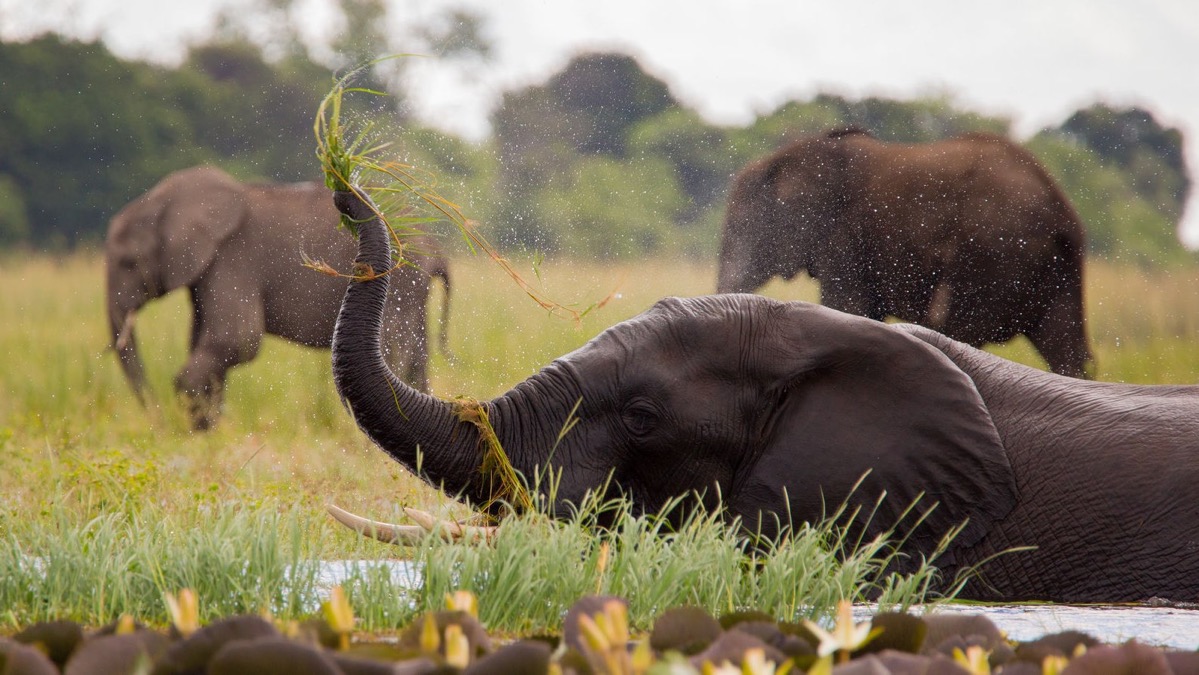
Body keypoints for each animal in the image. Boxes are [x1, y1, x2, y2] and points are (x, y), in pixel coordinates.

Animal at [105, 165, 450, 426]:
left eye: (128, 262)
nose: (159, 422)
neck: (164, 199)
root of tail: (435, 247)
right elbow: (207, 339)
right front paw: (206, 429)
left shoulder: (233, 258)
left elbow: (238, 339)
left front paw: (193, 413)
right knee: (416, 359)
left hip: (401, 282)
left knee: (395, 353)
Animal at [719, 129, 1098, 378]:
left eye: (739, 226)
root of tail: (1060, 212)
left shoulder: (845, 240)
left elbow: (847, 308)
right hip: (1056, 268)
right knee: (1065, 349)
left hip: (990, 254)